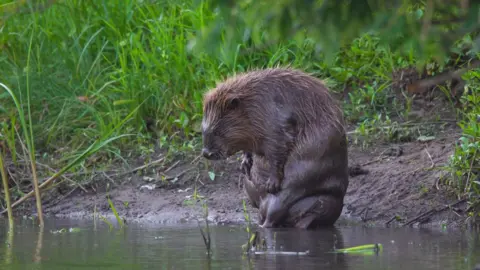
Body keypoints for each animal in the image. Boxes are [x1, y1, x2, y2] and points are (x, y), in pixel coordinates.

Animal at [202, 67, 348, 228]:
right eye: (203, 129)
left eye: (217, 131)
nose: (206, 153)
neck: (253, 102)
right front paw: (245, 163)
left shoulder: (275, 120)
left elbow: (279, 146)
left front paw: (271, 183)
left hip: (300, 179)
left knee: (278, 205)